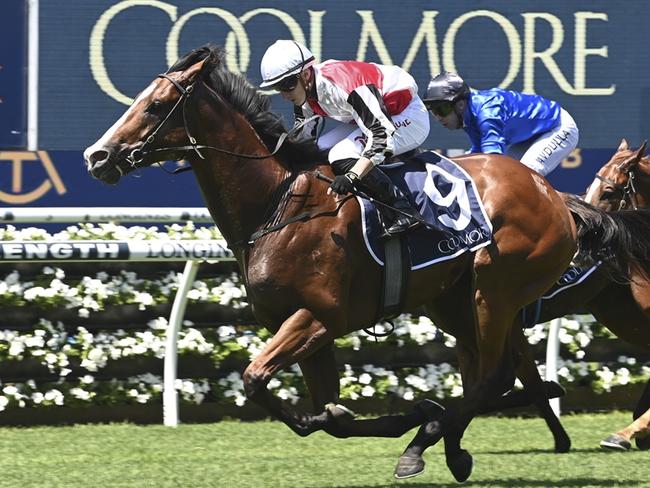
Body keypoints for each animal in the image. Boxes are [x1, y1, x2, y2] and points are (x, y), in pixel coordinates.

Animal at [83, 45, 644, 480]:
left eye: (156, 106)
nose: (97, 157)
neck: (278, 205)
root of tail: (557, 197)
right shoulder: (307, 329)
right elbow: (326, 415)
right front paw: (397, 414)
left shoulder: (320, 317)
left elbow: (256, 378)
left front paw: (415, 417)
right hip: (455, 300)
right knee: (496, 376)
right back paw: (456, 444)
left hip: (497, 287)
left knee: (492, 375)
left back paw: (427, 443)